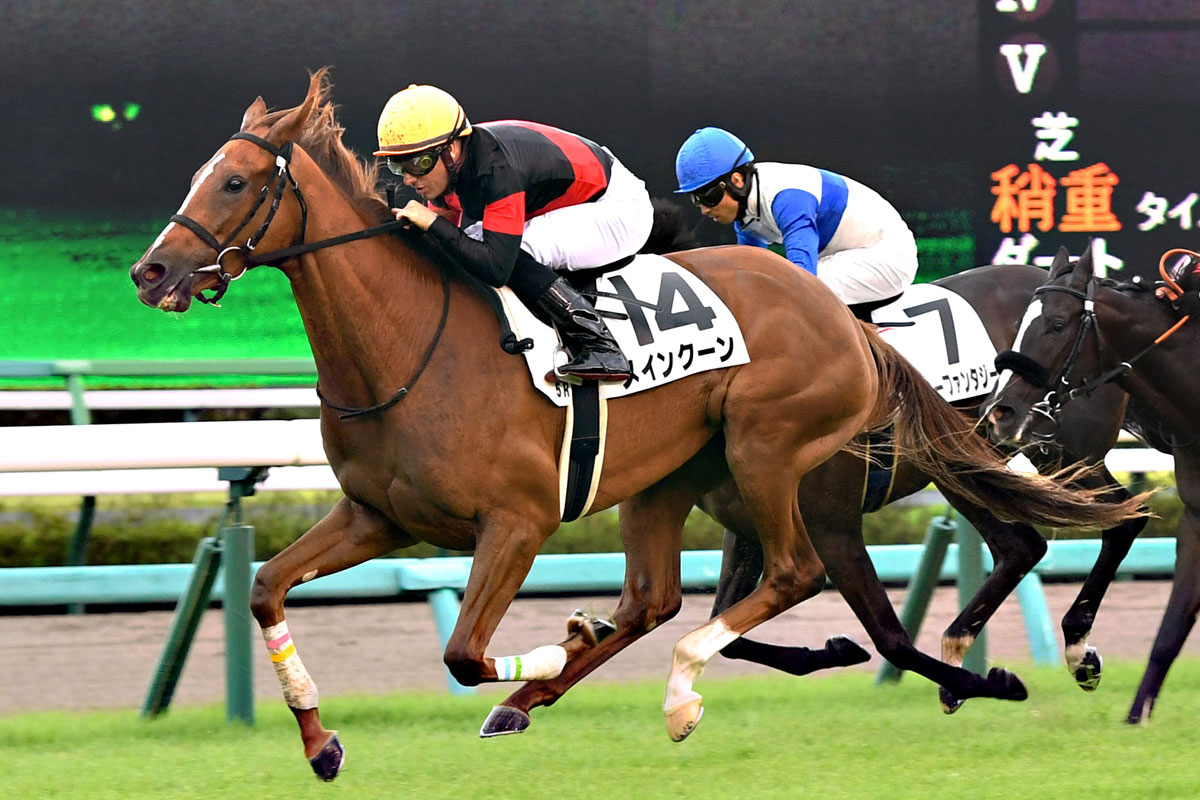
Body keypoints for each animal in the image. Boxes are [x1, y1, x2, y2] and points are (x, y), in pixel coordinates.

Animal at [128, 70, 1144, 780]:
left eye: (234, 183)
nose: (150, 273)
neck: (413, 345)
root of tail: (834, 313)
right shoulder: (377, 517)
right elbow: (266, 590)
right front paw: (321, 743)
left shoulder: (519, 520)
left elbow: (463, 653)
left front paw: (552, 646)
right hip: (671, 481)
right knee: (660, 599)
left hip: (771, 452)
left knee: (792, 573)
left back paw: (676, 692)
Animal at [983, 243, 1200, 724]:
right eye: (1022, 323)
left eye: (1057, 324)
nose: (1001, 412)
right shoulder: (1196, 517)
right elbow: (1170, 633)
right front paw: (1136, 717)